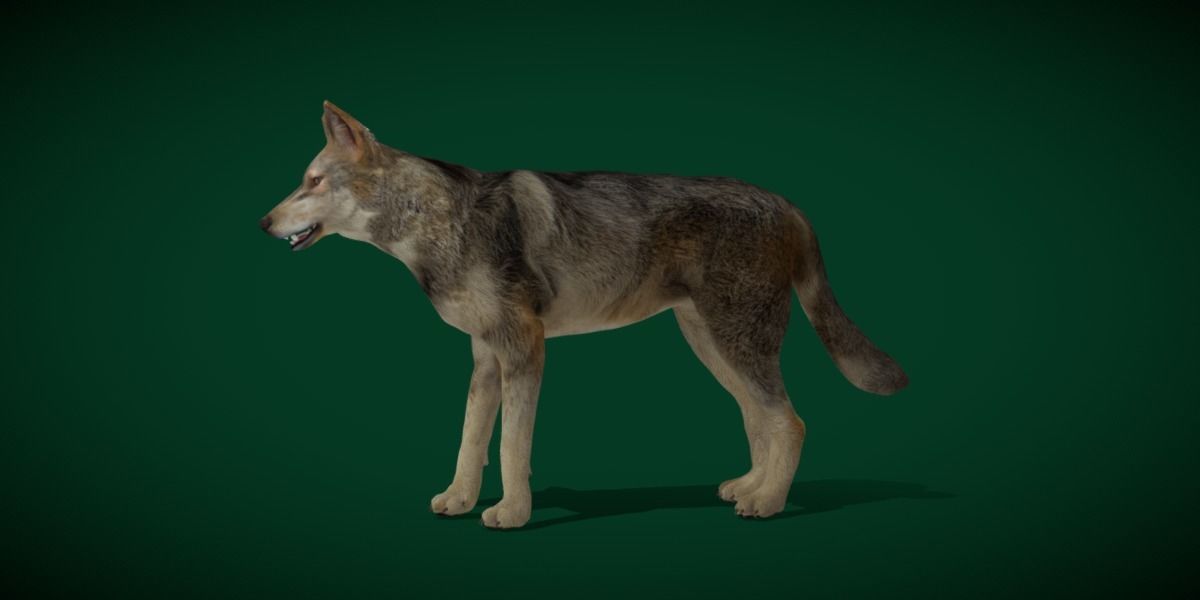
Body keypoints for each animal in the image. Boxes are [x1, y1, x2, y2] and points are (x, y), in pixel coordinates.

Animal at [259, 101, 908, 529]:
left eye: (313, 181)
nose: (263, 222)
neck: (438, 221)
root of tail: (787, 203)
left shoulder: (525, 349)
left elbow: (511, 448)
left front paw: (511, 512)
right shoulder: (485, 357)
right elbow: (471, 441)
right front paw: (459, 500)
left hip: (735, 344)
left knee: (789, 422)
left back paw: (769, 503)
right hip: (711, 344)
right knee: (759, 419)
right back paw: (749, 487)